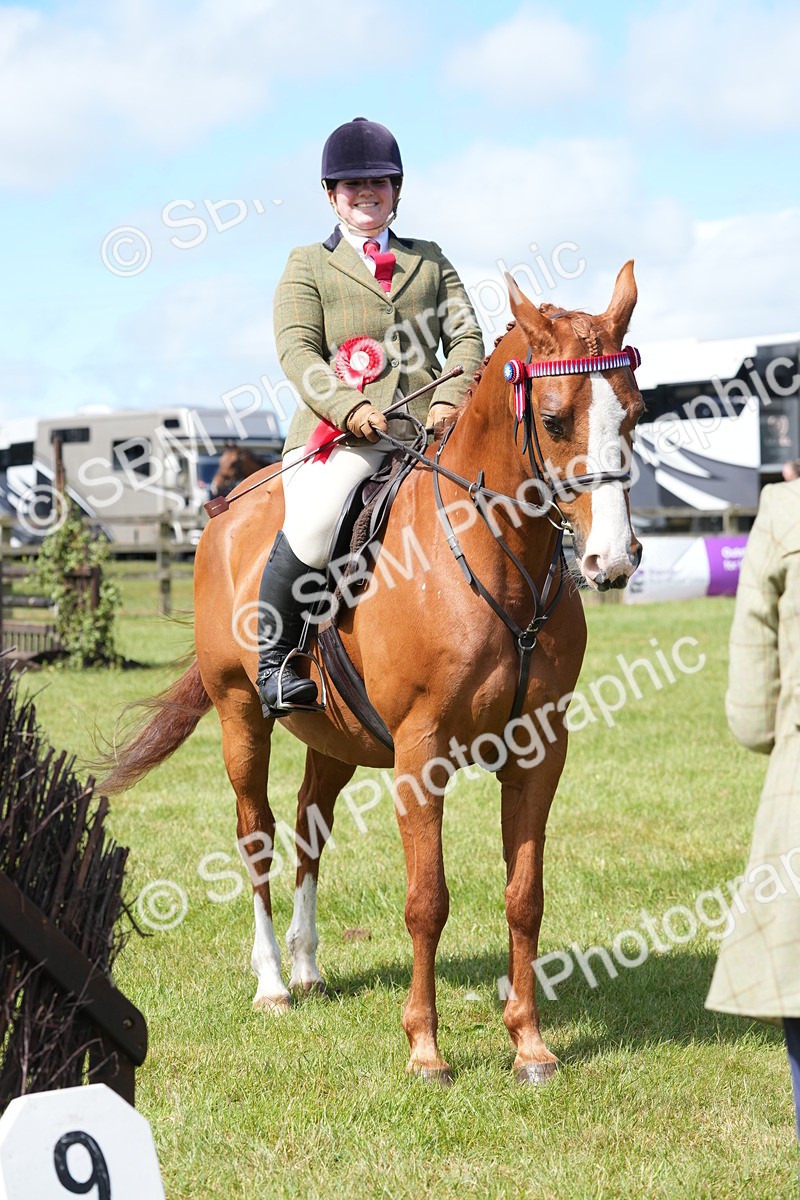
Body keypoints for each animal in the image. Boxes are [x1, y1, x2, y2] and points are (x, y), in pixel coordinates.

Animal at [101, 262, 644, 1086]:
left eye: (636, 415)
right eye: (553, 421)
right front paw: (425, 1051)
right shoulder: (421, 754)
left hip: (336, 736)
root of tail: (226, 511)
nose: (611, 560)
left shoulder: (539, 751)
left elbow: (525, 895)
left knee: (307, 827)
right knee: (257, 834)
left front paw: (529, 1045)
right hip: (240, 714)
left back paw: (307, 969)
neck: (495, 559)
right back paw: (271, 983)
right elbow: (427, 901)